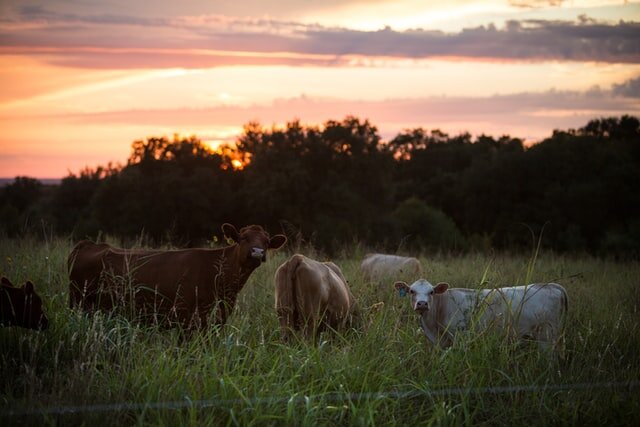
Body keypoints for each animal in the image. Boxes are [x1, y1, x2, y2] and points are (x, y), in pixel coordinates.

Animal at [69, 224, 286, 332]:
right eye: (243, 238)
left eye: (267, 241)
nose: (257, 252)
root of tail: (90, 244)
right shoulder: (184, 315)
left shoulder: (219, 315)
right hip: (78, 302)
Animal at [396, 280, 568, 352]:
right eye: (411, 291)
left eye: (431, 292)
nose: (422, 304)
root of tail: (551, 286)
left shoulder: (460, 337)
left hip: (547, 337)